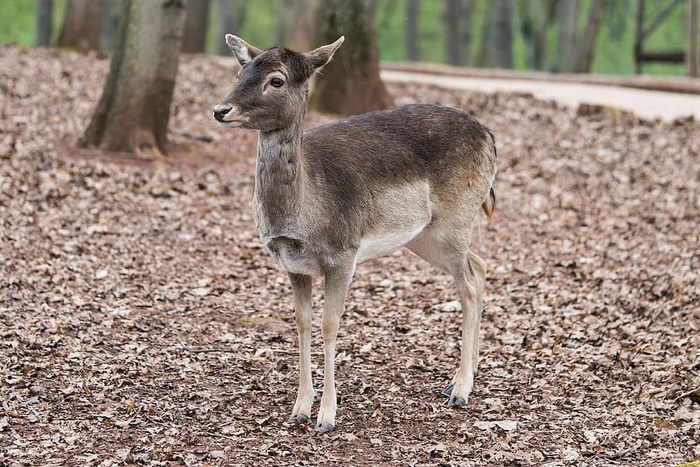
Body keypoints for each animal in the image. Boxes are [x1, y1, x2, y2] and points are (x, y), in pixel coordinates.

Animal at [212, 34, 497, 434]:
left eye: (276, 80)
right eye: (241, 72)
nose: (221, 110)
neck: (303, 213)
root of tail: (489, 136)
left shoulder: (343, 255)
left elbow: (330, 325)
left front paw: (327, 416)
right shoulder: (292, 265)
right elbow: (302, 323)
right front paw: (300, 408)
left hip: (455, 219)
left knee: (468, 285)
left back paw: (460, 388)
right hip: (424, 236)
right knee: (481, 265)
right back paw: (468, 372)